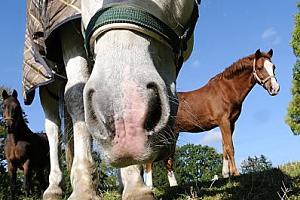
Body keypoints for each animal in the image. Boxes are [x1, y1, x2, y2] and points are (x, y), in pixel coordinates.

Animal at [35, 0, 199, 199]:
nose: (127, 123)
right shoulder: (65, 33)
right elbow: (76, 94)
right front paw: (83, 188)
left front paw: (134, 185)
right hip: (46, 83)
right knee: (53, 129)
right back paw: (54, 188)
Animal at [144, 48, 280, 188]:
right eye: (259, 68)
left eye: (273, 67)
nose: (275, 88)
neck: (226, 90)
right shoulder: (224, 121)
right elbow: (230, 147)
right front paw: (236, 174)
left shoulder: (231, 123)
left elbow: (225, 147)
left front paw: (226, 175)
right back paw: (149, 187)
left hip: (173, 134)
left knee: (167, 160)